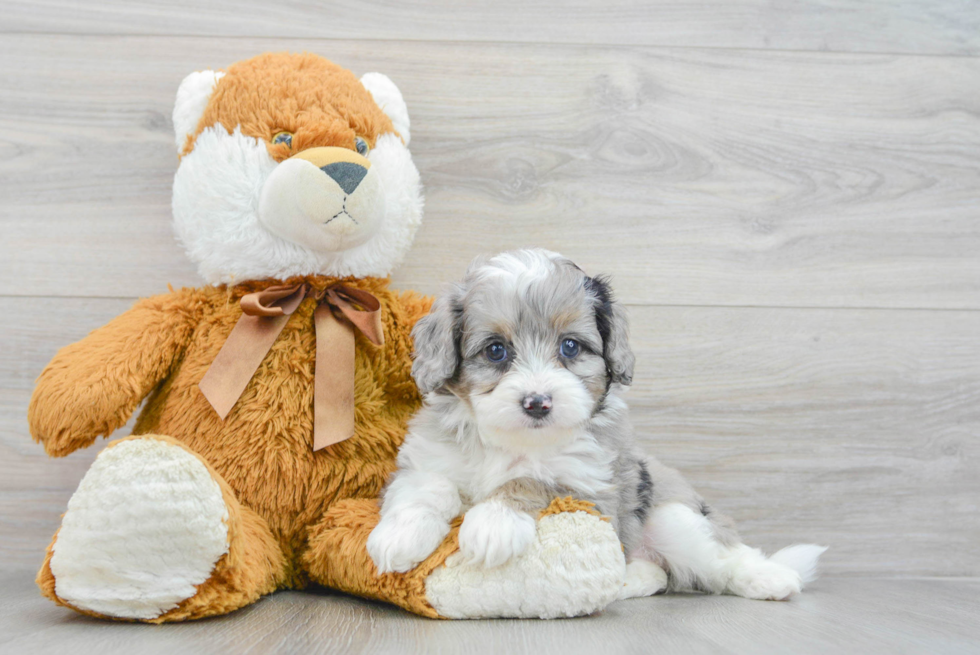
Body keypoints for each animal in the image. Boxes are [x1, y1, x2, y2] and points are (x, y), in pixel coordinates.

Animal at [370, 249, 828, 604]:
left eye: (570, 346)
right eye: (496, 350)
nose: (537, 403)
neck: (513, 442)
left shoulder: (588, 484)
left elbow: (533, 479)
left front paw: (493, 523)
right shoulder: (429, 458)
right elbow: (428, 488)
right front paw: (398, 536)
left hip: (673, 517)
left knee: (719, 556)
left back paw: (770, 577)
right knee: (657, 572)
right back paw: (628, 580)